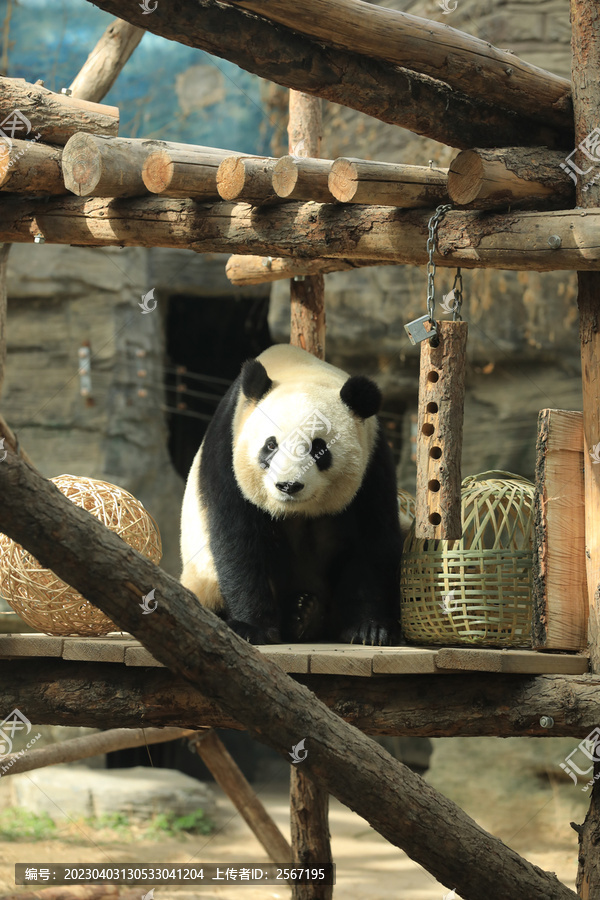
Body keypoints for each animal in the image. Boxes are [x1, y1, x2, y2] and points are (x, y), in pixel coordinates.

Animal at [178, 342, 404, 644]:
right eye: (271, 445)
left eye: (318, 448)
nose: (288, 485)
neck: (298, 369)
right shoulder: (228, 449)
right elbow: (238, 539)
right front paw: (253, 628)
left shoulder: (374, 463)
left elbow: (373, 538)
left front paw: (370, 629)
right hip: (202, 577)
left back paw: (306, 614)